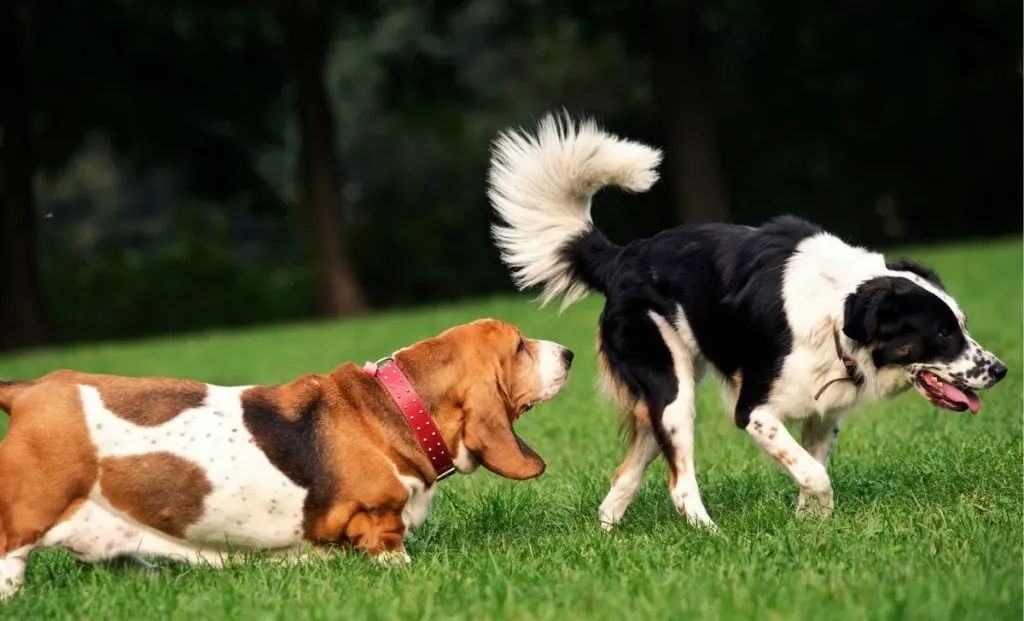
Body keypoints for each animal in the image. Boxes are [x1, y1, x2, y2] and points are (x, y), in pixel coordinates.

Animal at [0, 319, 577, 602]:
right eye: (520, 346)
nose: (570, 353)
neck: (396, 403)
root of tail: (29, 391)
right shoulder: (379, 522)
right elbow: (392, 551)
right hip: (26, 521)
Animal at [487, 111, 1007, 528]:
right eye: (942, 332)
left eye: (962, 324)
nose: (1001, 371)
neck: (839, 314)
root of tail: (621, 258)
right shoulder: (754, 411)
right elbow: (816, 474)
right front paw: (813, 520)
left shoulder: (824, 413)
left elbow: (813, 470)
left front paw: (811, 526)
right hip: (672, 392)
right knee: (680, 485)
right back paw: (710, 535)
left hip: (663, 401)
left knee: (625, 475)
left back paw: (608, 531)